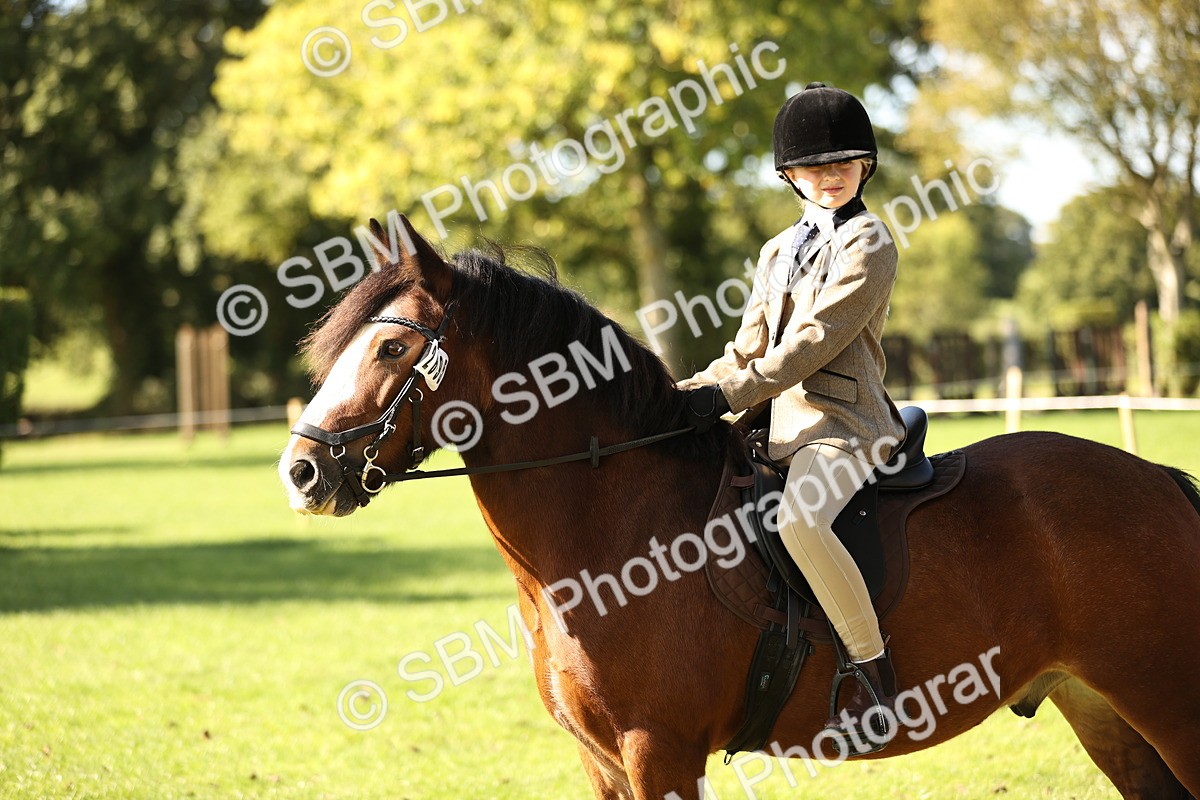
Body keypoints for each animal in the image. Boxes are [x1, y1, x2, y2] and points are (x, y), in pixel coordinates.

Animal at [279, 215, 1200, 799]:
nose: (302, 472)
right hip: (1102, 707)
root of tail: (1157, 479)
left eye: (390, 347)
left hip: (1166, 700)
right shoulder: (603, 764)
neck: (606, 534)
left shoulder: (659, 753)